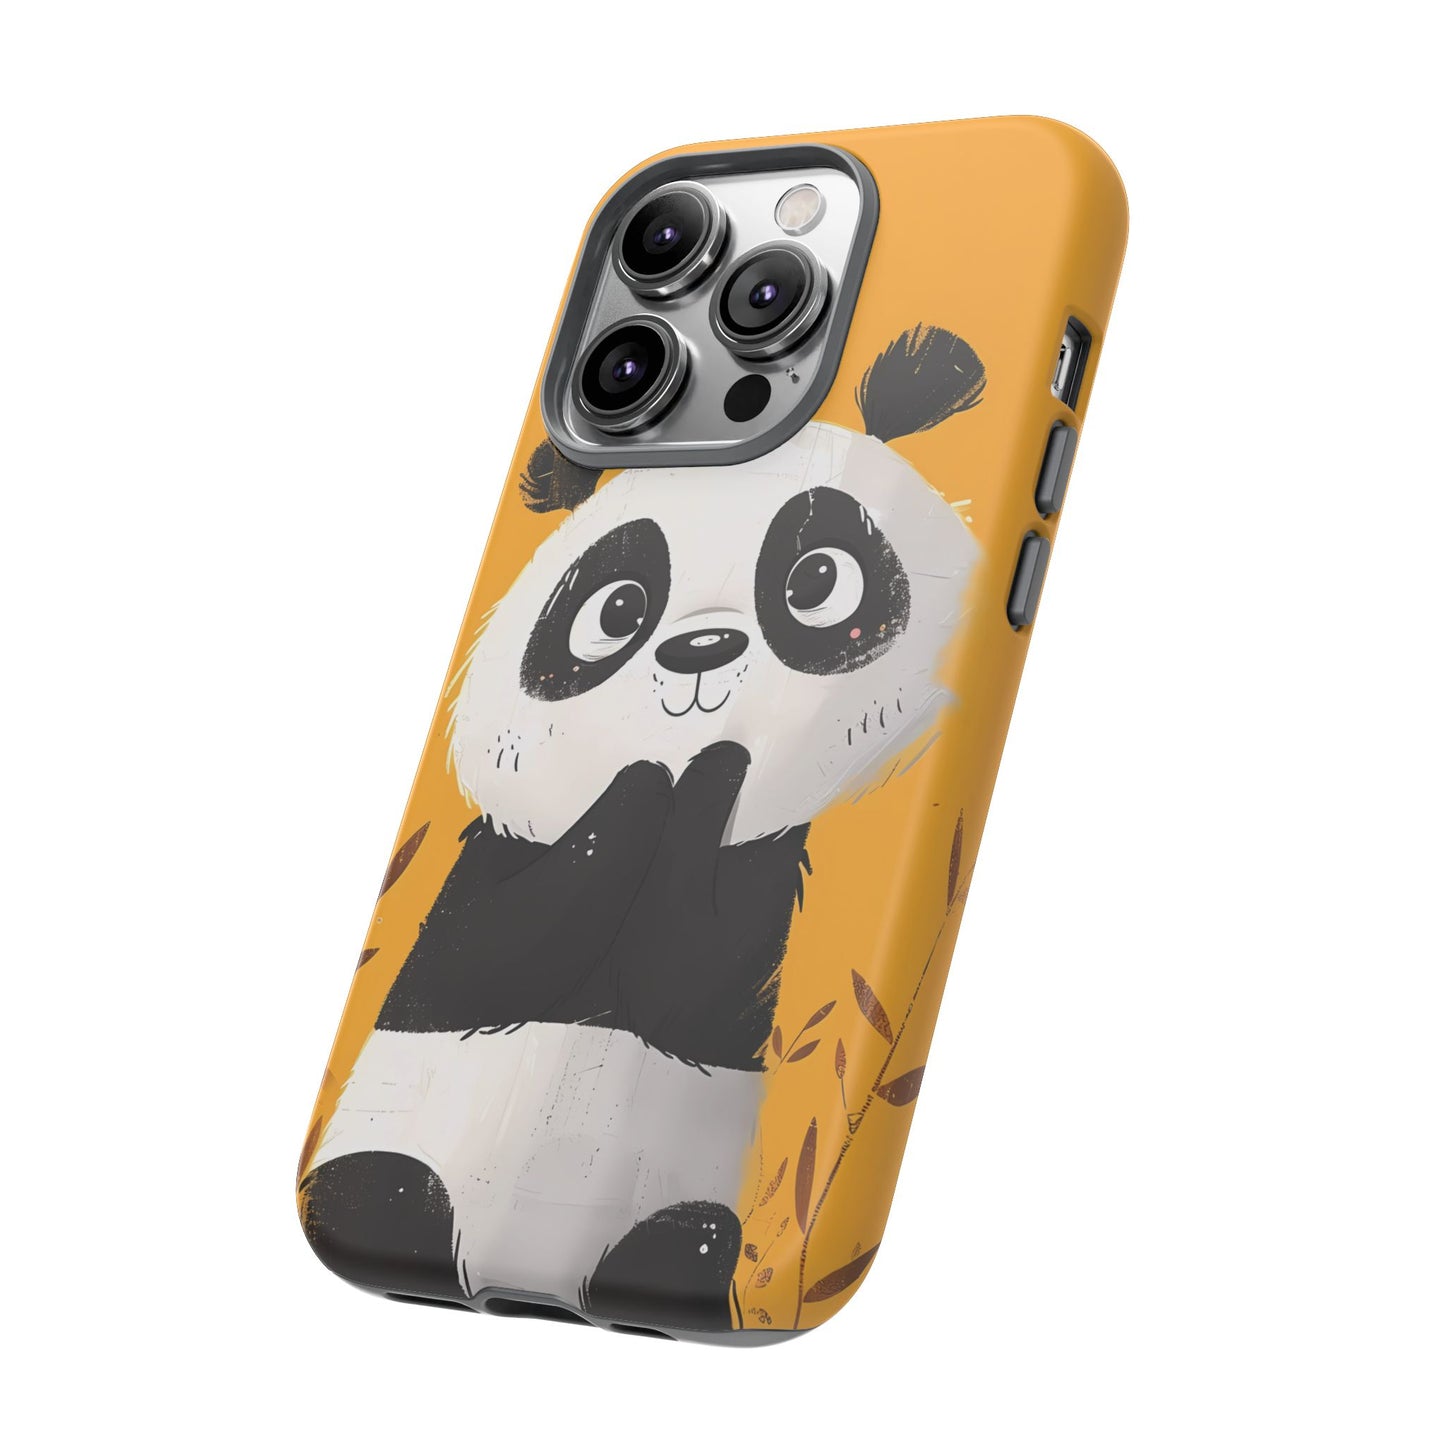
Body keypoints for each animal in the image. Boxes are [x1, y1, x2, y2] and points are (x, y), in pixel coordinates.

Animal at [301, 325, 986, 1334]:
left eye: (816, 579)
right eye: (616, 609)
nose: (700, 651)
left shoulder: (760, 884)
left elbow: (695, 960)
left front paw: (706, 775)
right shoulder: (491, 865)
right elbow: (503, 939)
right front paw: (645, 787)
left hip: (682, 1202)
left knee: (688, 1236)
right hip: (391, 1143)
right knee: (376, 1186)